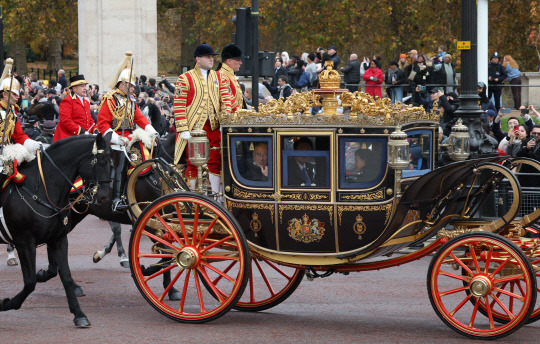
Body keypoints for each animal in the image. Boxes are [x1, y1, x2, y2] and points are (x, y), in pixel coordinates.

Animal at [0, 133, 112, 326]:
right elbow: (30, 282)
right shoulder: (24, 243)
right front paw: (6, 303)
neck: (41, 191)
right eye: (101, 162)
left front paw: (79, 314)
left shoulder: (58, 239)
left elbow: (65, 276)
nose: (105, 197)